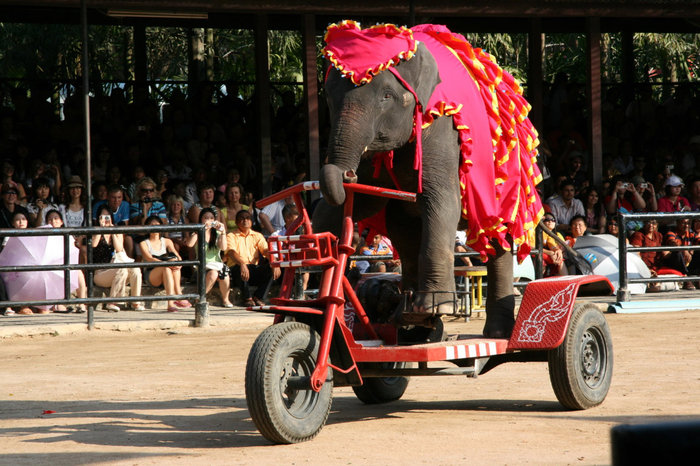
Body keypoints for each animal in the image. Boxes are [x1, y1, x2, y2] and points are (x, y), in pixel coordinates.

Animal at [312, 21, 540, 336]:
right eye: (329, 99)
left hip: (508, 188)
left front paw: (437, 307)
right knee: (404, 227)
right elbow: (368, 201)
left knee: (498, 241)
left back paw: (490, 331)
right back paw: (408, 317)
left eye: (386, 96)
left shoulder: (443, 126)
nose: (348, 172)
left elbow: (441, 200)